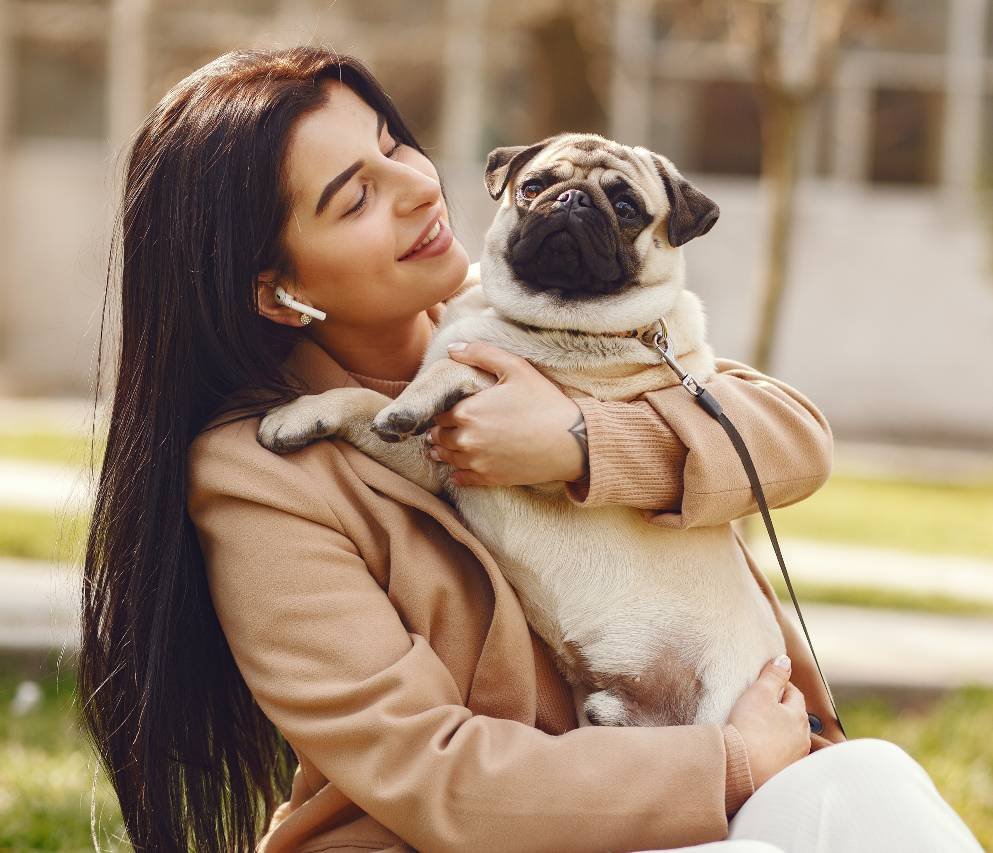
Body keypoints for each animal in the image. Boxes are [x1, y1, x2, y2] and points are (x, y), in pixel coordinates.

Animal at [256, 133, 784, 724]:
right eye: (533, 185)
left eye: (626, 208)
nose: (573, 199)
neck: (531, 317)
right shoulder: (436, 461)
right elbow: (362, 399)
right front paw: (303, 413)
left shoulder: (545, 441)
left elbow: (457, 368)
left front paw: (413, 398)